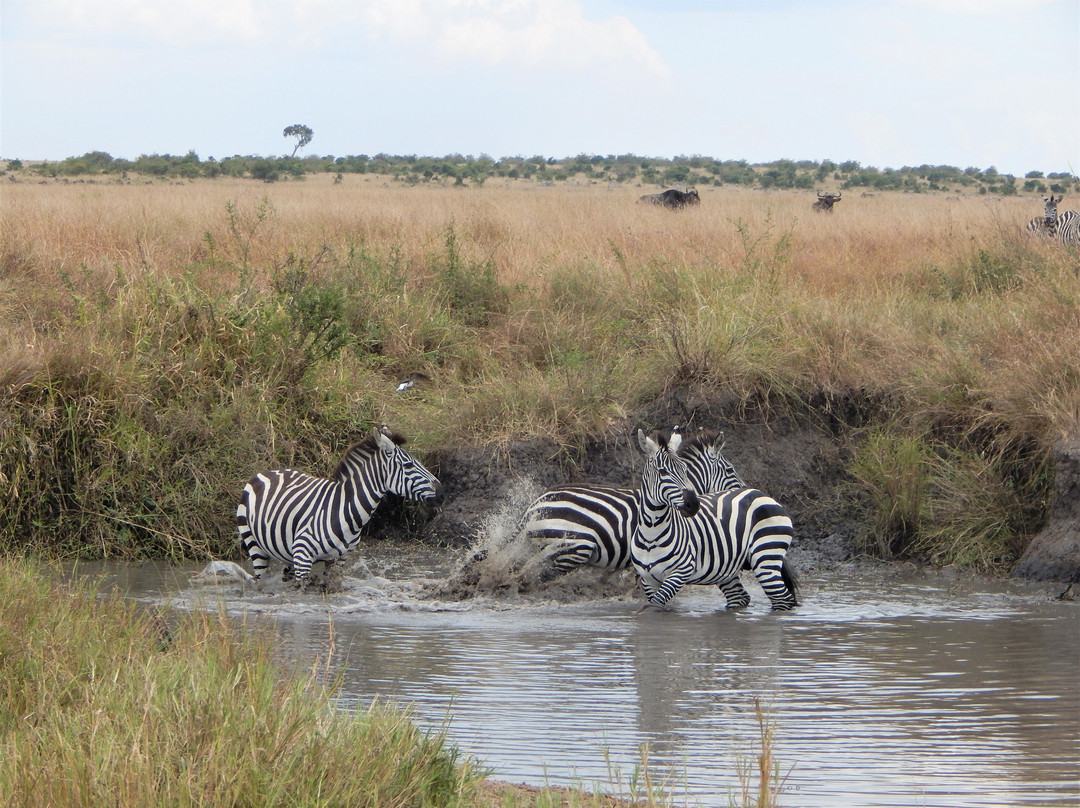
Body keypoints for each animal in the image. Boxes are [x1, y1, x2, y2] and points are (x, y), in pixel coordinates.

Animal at [236, 425, 443, 584]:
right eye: (408, 465)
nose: (442, 492)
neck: (346, 509)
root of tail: (265, 472)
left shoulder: (338, 559)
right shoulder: (303, 556)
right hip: (254, 544)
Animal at [632, 428, 798, 611]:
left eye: (685, 469)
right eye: (663, 472)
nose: (693, 504)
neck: (651, 531)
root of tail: (762, 494)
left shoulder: (680, 572)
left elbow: (655, 606)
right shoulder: (648, 580)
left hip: (766, 556)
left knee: (781, 598)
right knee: (741, 598)